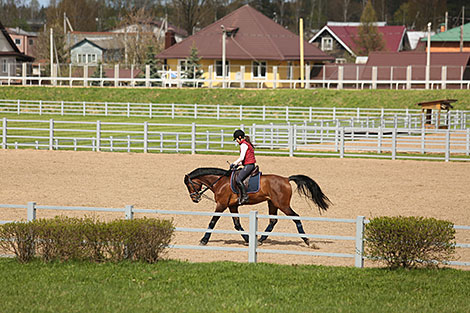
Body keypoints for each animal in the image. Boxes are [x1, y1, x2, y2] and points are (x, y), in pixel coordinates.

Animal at [184, 167, 330, 245]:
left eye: (189, 185)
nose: (194, 198)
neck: (220, 182)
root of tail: (286, 179)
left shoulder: (221, 205)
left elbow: (213, 221)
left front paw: (204, 240)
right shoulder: (232, 206)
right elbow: (237, 225)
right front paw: (249, 239)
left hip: (282, 205)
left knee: (296, 217)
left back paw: (307, 240)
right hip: (273, 204)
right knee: (273, 221)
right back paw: (260, 239)